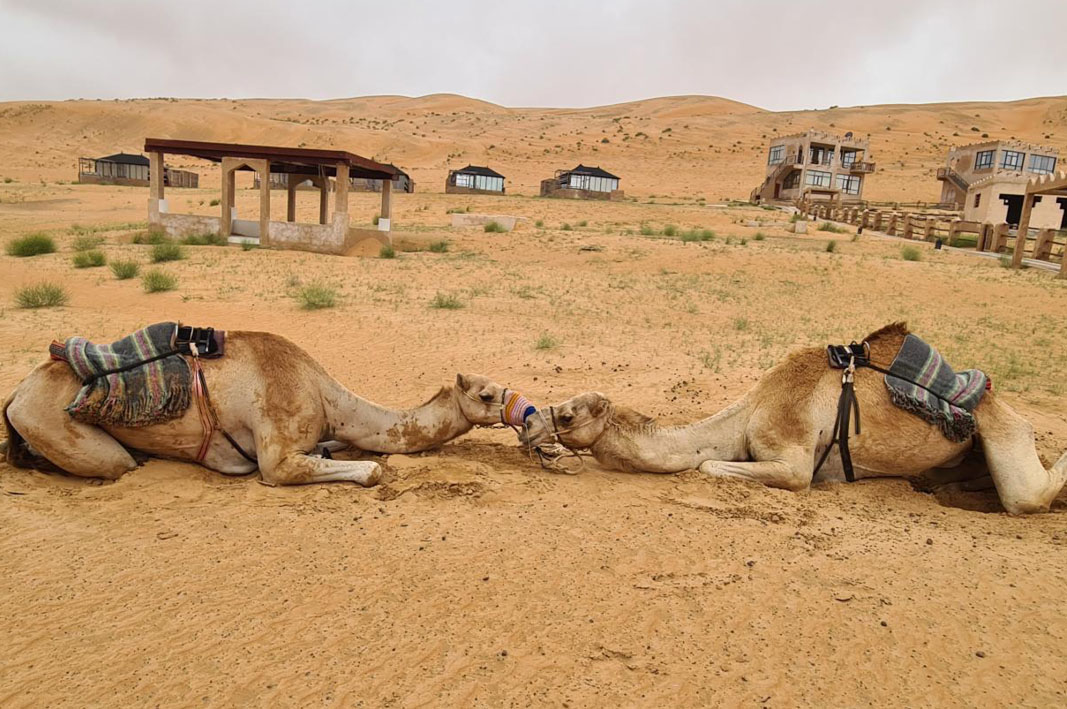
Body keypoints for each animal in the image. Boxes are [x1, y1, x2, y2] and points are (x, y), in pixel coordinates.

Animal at [3, 328, 520, 484]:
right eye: (487, 394)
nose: (524, 408)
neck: (326, 395)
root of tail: (16, 394)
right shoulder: (278, 451)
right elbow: (371, 470)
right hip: (56, 425)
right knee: (113, 463)